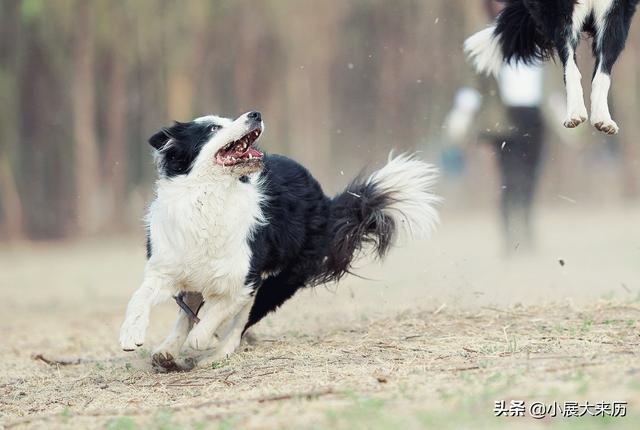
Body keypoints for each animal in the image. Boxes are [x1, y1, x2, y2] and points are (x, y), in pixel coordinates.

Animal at [119, 111, 440, 370]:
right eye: (212, 128)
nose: (255, 114)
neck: (210, 197)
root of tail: (326, 201)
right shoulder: (167, 265)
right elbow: (141, 296)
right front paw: (131, 334)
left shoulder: (245, 280)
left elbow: (217, 314)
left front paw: (204, 340)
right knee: (189, 311)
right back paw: (167, 351)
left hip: (282, 280)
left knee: (241, 320)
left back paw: (217, 352)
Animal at [468, 0, 636, 134]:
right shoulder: (561, 13)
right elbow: (572, 69)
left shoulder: (615, 12)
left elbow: (602, 74)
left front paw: (602, 119)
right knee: (571, 66)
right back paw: (575, 113)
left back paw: (599, 118)